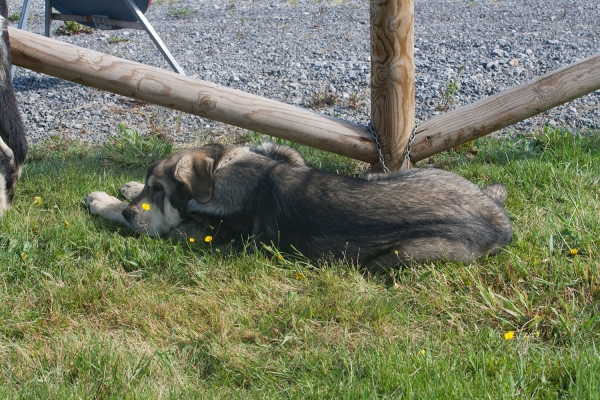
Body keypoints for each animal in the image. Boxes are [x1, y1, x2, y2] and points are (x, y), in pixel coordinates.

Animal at [86, 142, 512, 270]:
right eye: (151, 186)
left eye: (160, 190)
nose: (132, 211)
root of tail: (500, 225)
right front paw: (126, 188)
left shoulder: (194, 234)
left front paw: (107, 203)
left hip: (402, 255)